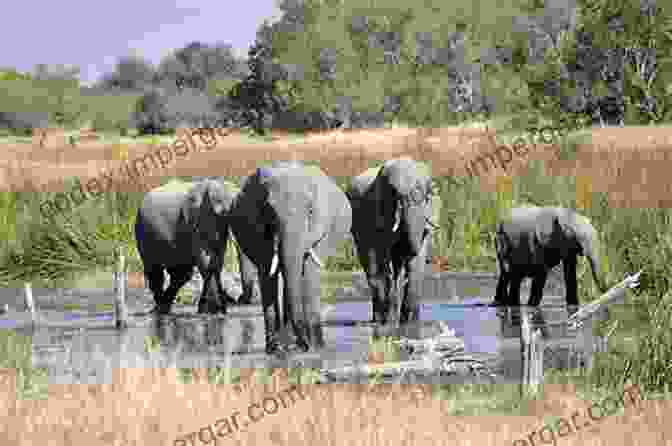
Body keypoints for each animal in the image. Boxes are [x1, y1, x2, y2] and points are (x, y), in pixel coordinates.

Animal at [230, 161, 354, 356]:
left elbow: (308, 272)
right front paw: (274, 349)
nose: (305, 345)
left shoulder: (319, 230)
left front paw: (316, 347)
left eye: (310, 211)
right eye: (270, 212)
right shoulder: (257, 229)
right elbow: (267, 273)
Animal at [346, 158, 436, 328]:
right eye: (395, 194)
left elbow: (417, 262)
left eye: (426, 194)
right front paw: (390, 321)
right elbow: (381, 258)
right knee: (371, 264)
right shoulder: (379, 212)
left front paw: (409, 323)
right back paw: (380, 319)